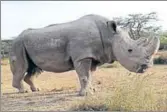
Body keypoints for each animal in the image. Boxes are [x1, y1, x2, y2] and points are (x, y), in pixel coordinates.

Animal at [8, 14, 159, 96]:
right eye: (130, 50)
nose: (146, 66)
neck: (109, 35)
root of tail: (15, 38)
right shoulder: (82, 56)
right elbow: (84, 75)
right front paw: (85, 94)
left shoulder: (92, 56)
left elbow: (89, 75)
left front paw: (92, 90)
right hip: (17, 44)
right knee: (22, 67)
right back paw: (24, 91)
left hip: (27, 44)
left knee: (34, 68)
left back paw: (36, 89)